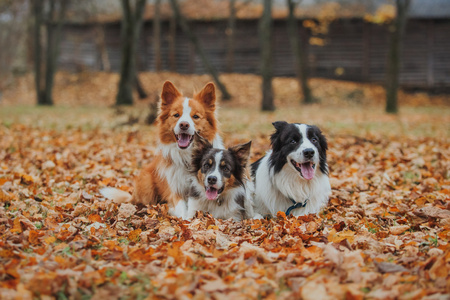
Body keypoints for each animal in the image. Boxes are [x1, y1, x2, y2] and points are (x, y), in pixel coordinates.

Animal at [100, 79, 223, 211]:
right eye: (176, 115)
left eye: (195, 116)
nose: (184, 125)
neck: (187, 156)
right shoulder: (174, 191)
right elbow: (182, 210)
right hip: (146, 183)